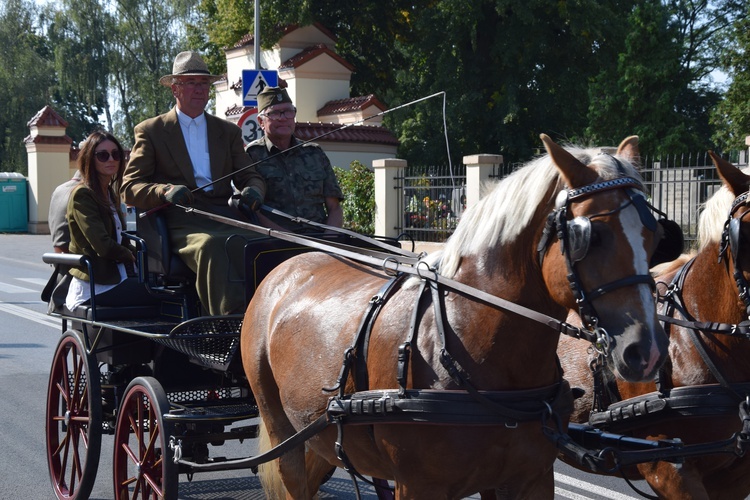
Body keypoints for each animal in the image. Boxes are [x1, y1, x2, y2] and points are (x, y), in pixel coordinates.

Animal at [241, 135, 668, 498]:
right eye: (590, 236)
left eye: (655, 238)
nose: (645, 352)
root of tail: (286, 266)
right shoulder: (419, 487)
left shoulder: (529, 480)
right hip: (282, 431)